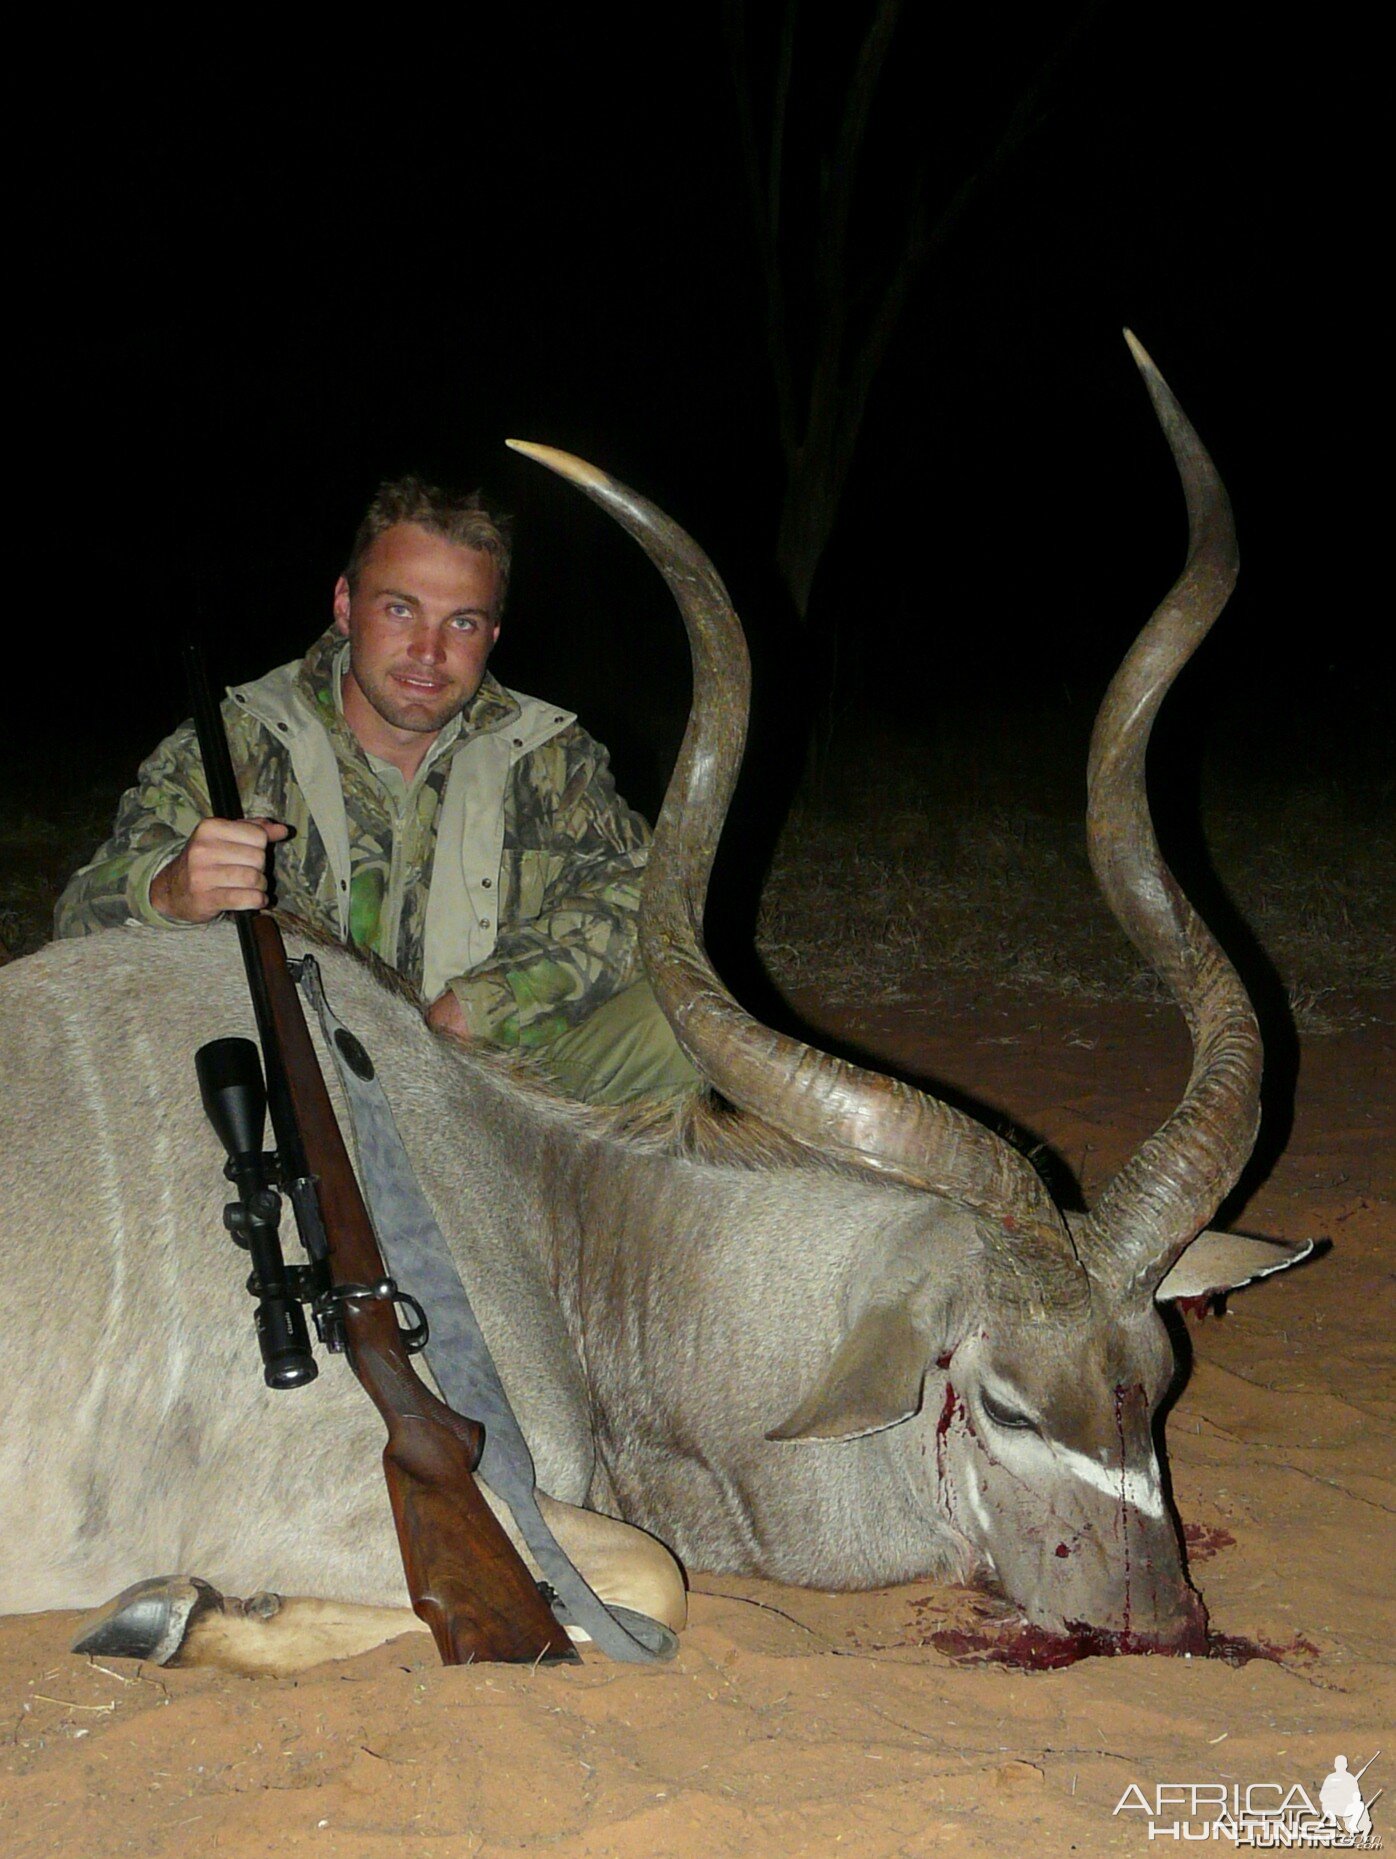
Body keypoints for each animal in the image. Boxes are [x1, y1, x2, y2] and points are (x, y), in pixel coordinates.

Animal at [0, 342, 1308, 1680]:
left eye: (1158, 1377)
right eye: (1003, 1400)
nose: (1159, 1621)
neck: (537, 1215)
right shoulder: (314, 1500)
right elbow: (639, 1581)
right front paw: (168, 1610)